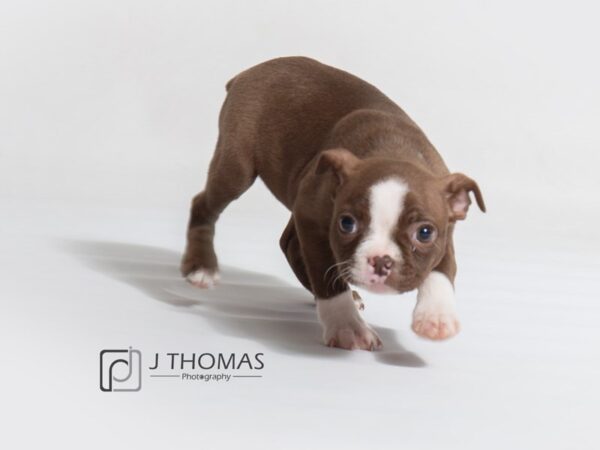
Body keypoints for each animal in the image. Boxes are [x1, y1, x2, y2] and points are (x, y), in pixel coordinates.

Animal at [180, 57, 486, 352]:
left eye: (424, 233)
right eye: (347, 223)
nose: (381, 261)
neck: (394, 151)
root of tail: (246, 74)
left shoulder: (446, 232)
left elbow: (442, 273)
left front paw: (436, 318)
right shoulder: (312, 220)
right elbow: (328, 278)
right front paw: (347, 327)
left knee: (289, 243)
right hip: (237, 167)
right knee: (205, 205)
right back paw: (201, 268)